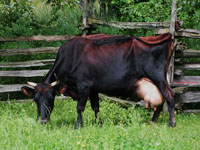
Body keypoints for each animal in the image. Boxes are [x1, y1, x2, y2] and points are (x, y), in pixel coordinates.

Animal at [21, 32, 176, 127]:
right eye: (35, 100)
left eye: (51, 99)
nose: (43, 121)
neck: (70, 57)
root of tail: (165, 37)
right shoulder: (93, 87)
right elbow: (95, 107)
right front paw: (99, 124)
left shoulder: (84, 84)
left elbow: (80, 107)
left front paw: (78, 126)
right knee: (161, 100)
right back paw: (153, 121)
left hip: (158, 76)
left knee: (169, 96)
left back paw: (171, 123)